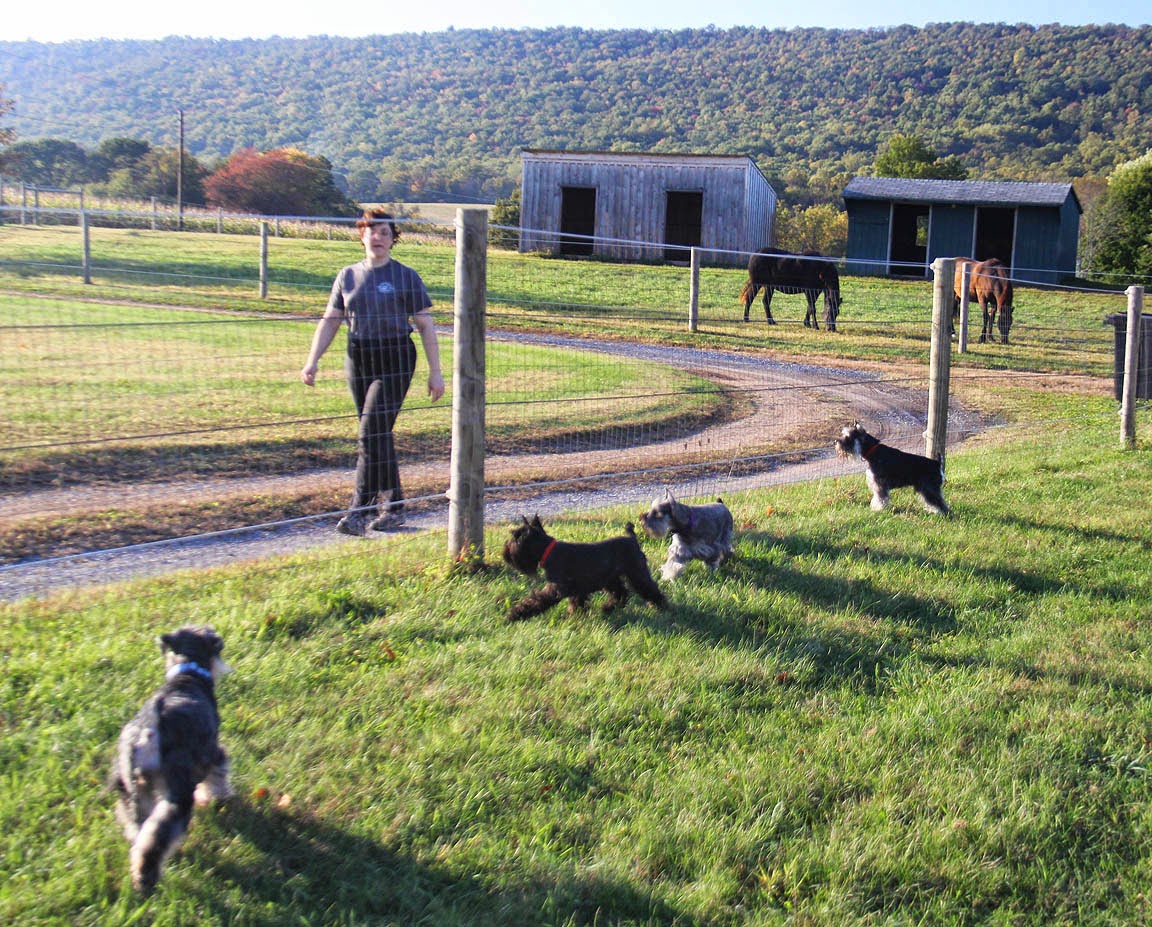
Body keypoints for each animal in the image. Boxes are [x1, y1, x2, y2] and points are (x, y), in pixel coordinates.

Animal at [110, 626, 232, 894]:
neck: (187, 674)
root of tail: (145, 735)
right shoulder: (213, 752)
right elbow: (218, 775)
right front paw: (218, 797)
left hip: (134, 793)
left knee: (140, 830)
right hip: (178, 793)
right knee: (157, 837)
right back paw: (146, 877)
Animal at [502, 515, 667, 621]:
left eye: (517, 537)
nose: (505, 550)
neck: (548, 550)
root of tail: (632, 539)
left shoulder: (555, 589)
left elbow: (536, 600)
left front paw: (515, 614)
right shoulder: (577, 590)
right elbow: (576, 603)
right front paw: (574, 616)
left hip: (636, 574)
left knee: (649, 590)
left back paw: (663, 607)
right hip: (611, 579)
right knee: (620, 594)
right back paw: (607, 608)